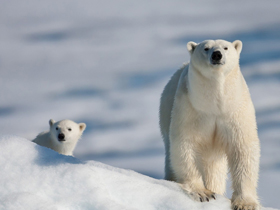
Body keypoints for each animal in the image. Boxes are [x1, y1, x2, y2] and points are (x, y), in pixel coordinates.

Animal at [160, 39, 260, 210]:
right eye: (206, 48)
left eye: (226, 47)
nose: (217, 55)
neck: (215, 104)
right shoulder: (191, 108)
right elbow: (185, 145)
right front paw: (203, 193)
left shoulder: (235, 109)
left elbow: (243, 148)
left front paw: (245, 203)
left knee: (214, 168)